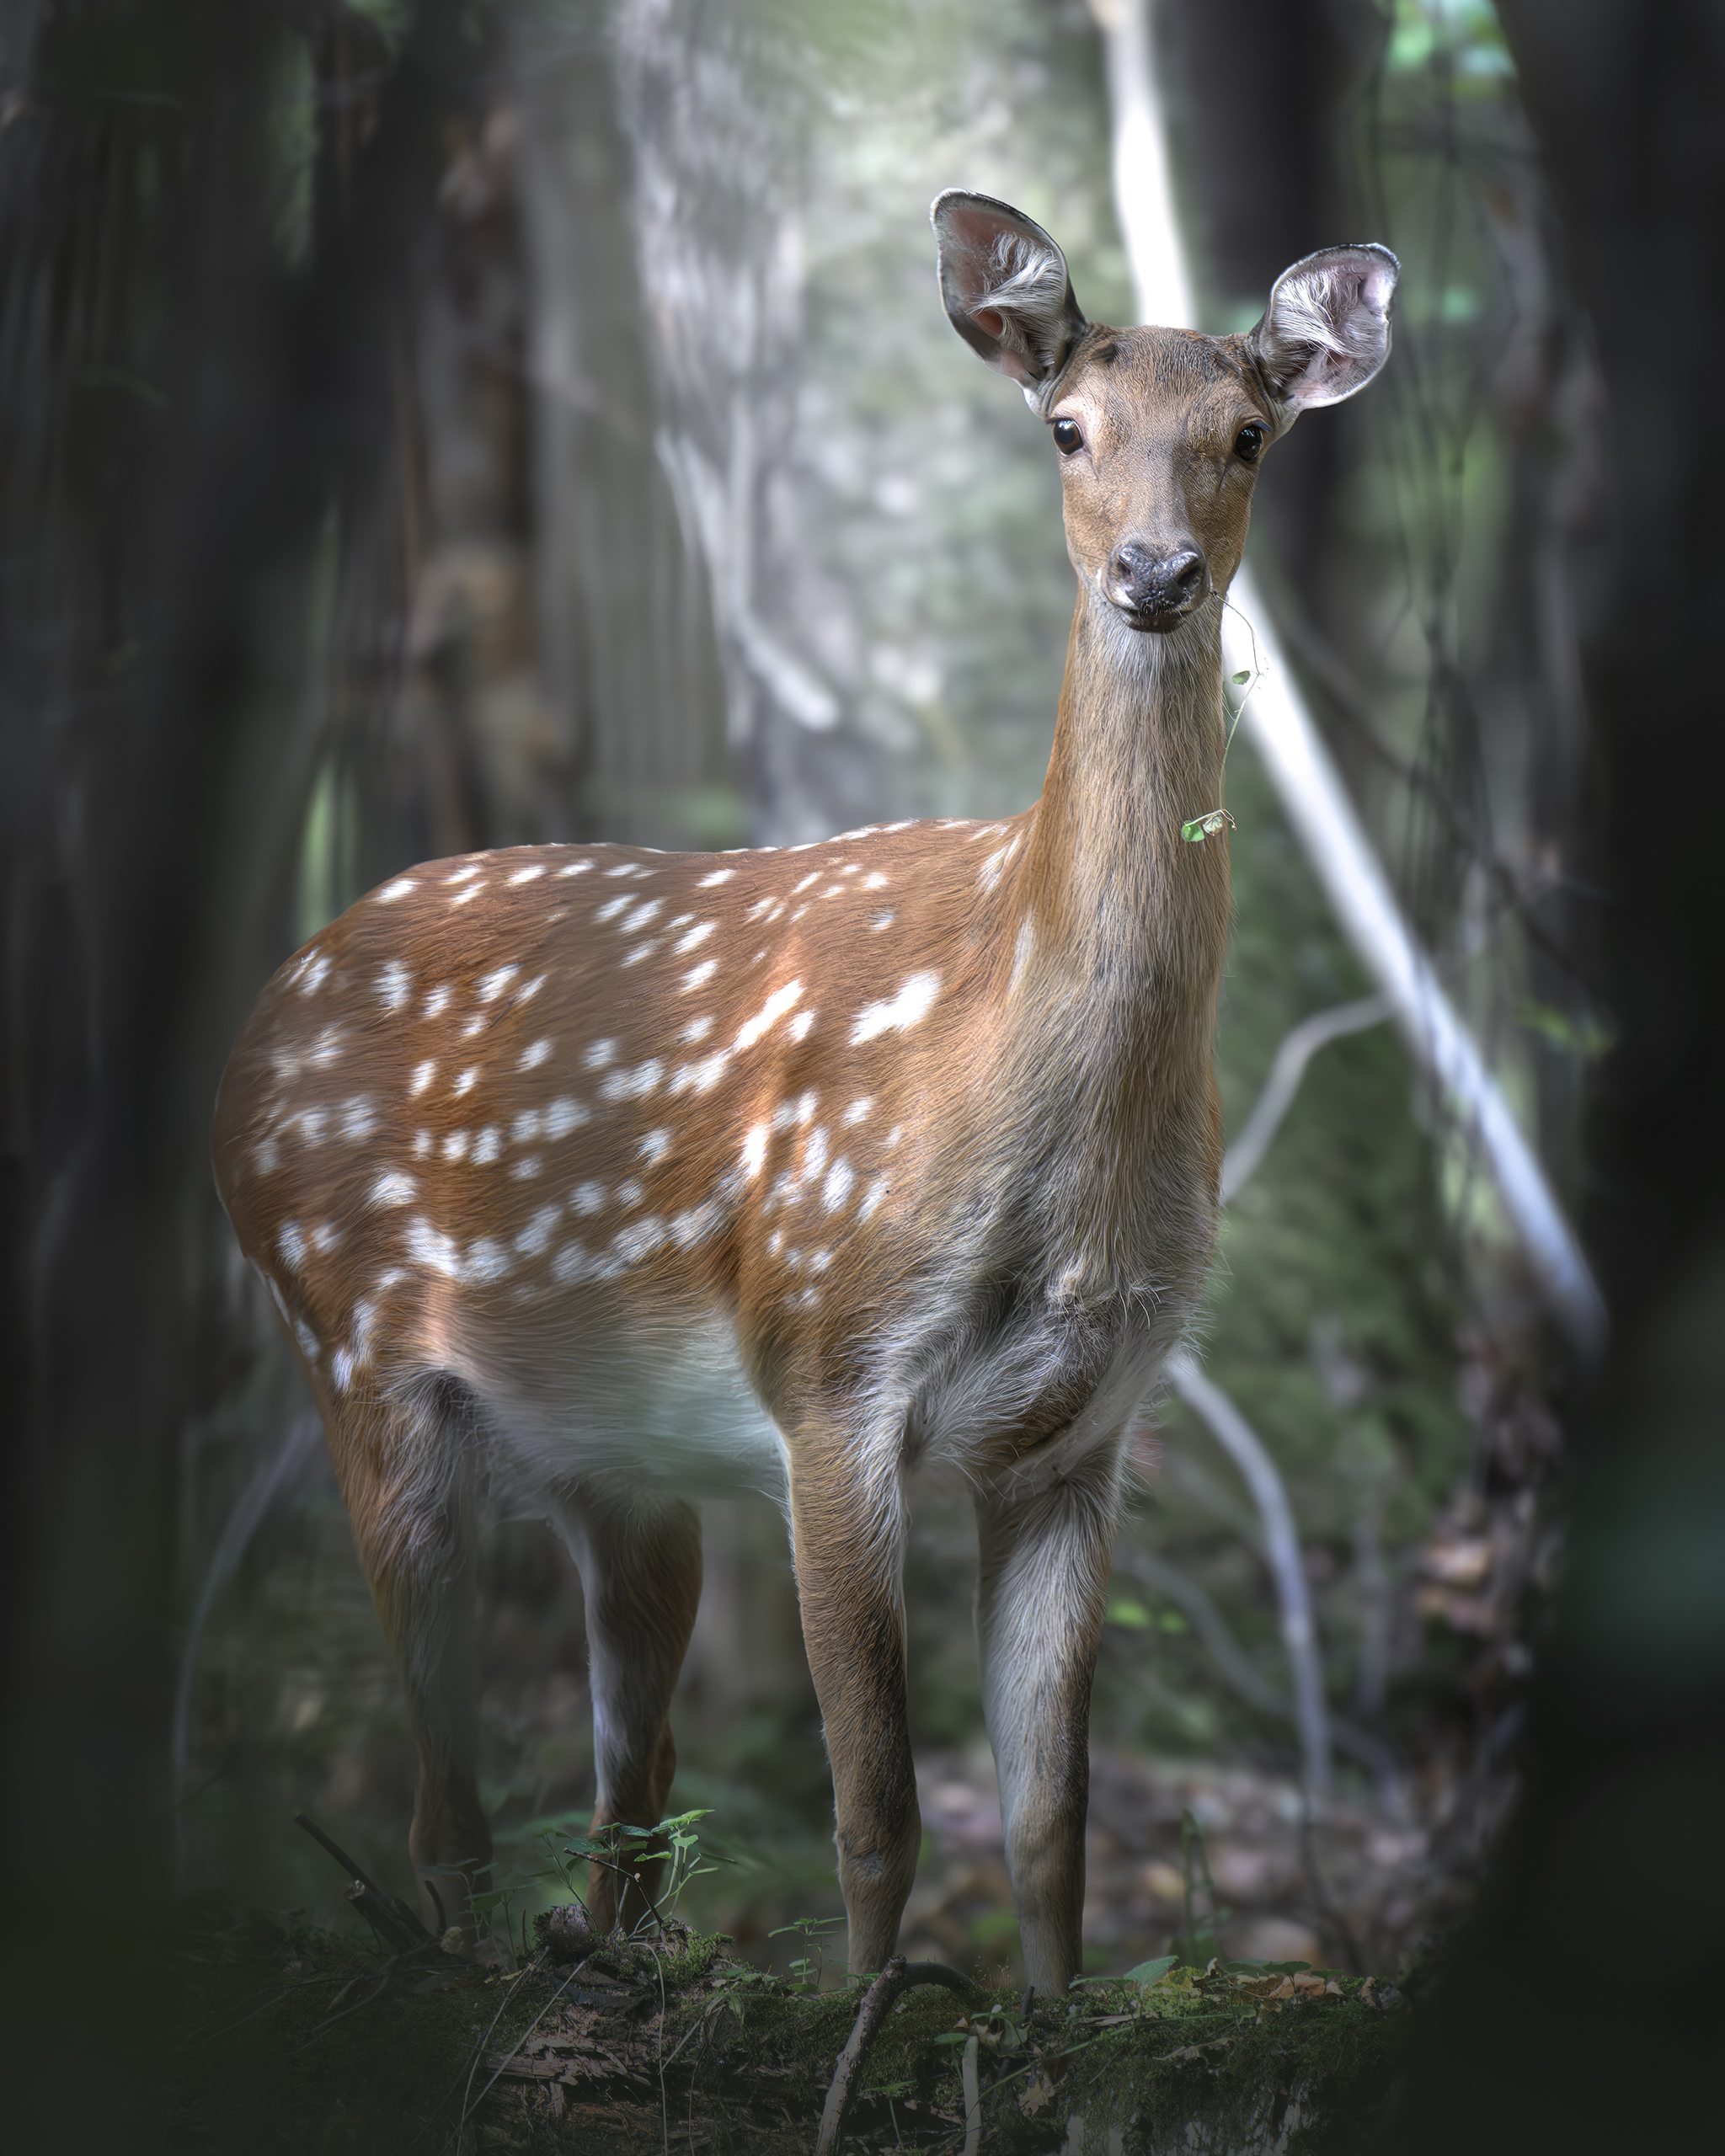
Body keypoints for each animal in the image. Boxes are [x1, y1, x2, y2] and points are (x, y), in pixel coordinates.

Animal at [209, 194, 1397, 1992]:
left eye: (1245, 433)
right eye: (1066, 428)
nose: (1153, 574)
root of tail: (255, 1024)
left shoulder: (1086, 1428)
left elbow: (1051, 1823)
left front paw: (1041, 2026)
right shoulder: (826, 1363)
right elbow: (877, 1814)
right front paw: (866, 2028)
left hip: (615, 1461)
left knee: (628, 1798)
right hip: (347, 1342)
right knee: (446, 1805)